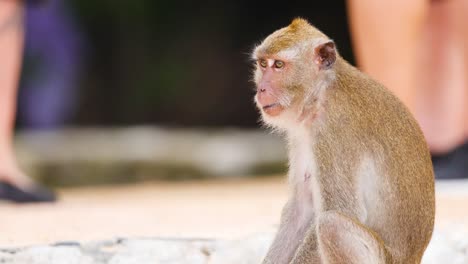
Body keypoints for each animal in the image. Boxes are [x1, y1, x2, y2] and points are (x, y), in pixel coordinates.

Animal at [252, 18, 436, 264]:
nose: (261, 89)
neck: (320, 94)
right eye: (263, 64)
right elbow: (300, 208)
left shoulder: (334, 130)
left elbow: (341, 210)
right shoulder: (301, 135)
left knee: (331, 225)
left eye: (279, 65)